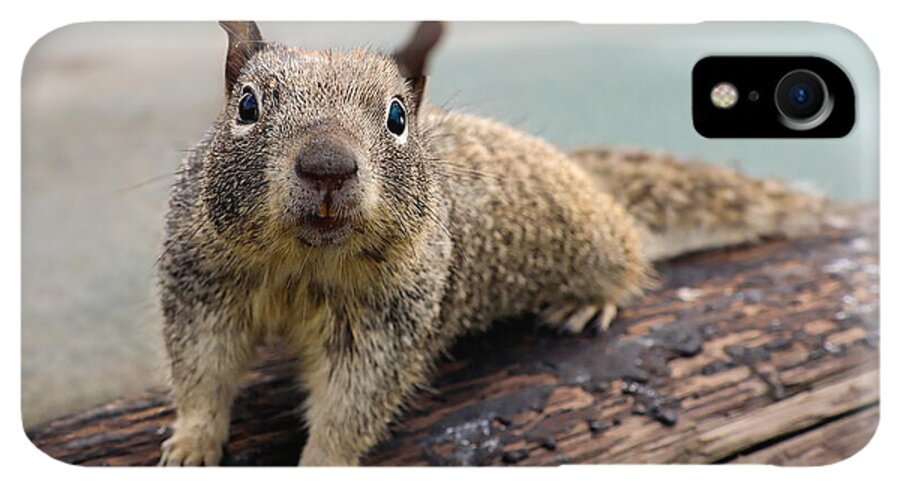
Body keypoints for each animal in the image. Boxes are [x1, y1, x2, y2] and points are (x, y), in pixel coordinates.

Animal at [158, 21, 824, 466]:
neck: (305, 262)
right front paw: (190, 443)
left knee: (629, 254)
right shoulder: (204, 285)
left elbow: (353, 404)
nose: (327, 166)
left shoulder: (388, 323)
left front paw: (322, 463)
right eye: (246, 105)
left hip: (598, 240)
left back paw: (589, 300)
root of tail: (587, 179)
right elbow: (202, 371)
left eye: (398, 117)